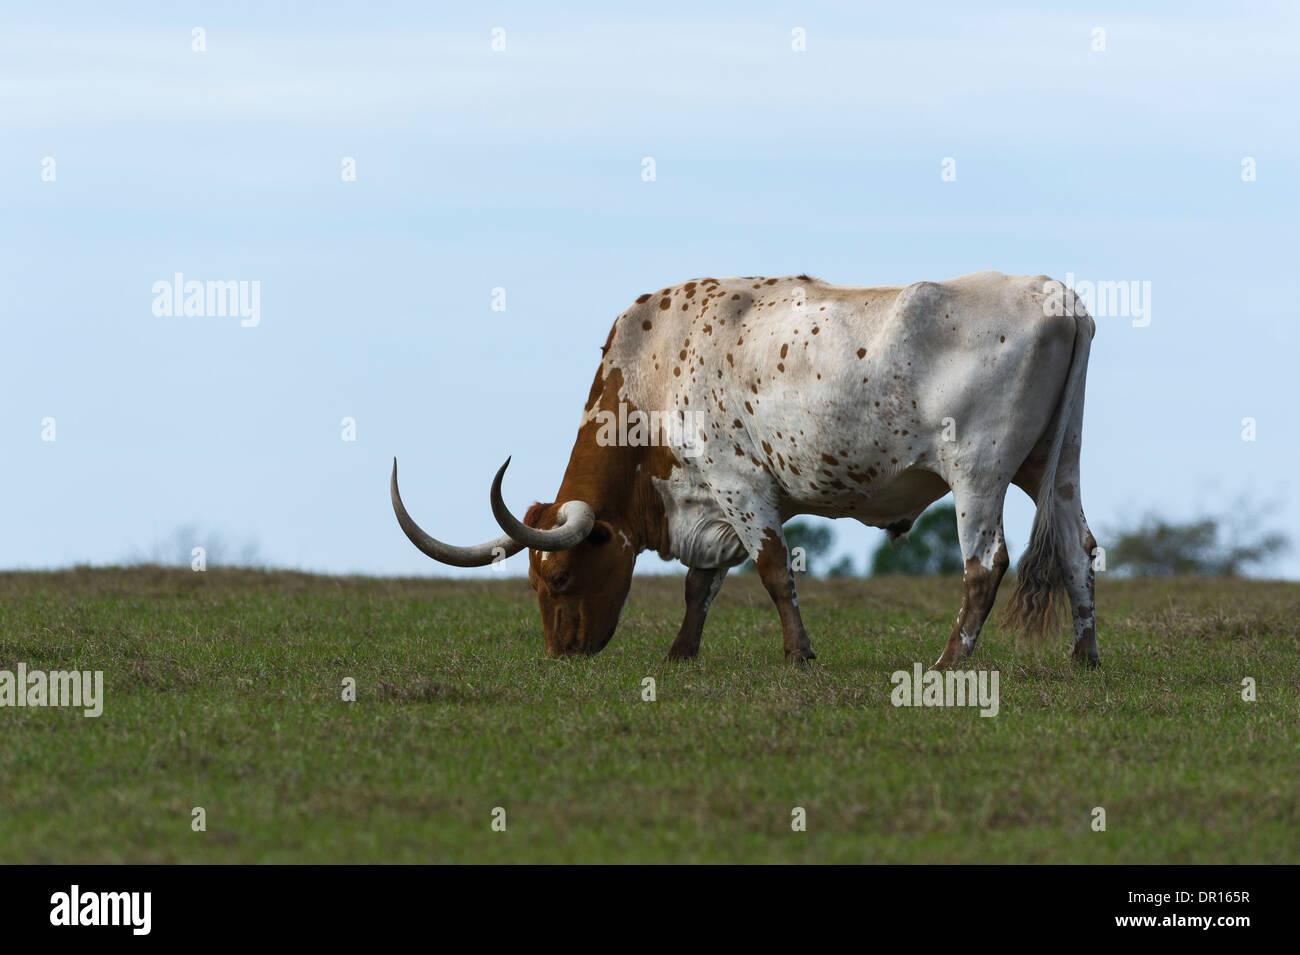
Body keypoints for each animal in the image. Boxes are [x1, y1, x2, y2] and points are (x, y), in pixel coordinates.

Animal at [392, 272, 1097, 670]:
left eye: (561, 577)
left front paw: (798, 656)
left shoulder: (741, 487)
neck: (652, 369)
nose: (561, 654)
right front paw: (680, 655)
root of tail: (1055, 294)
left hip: (977, 473)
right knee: (1076, 548)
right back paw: (1084, 658)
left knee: (986, 564)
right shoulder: (713, 502)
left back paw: (950, 661)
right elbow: (701, 584)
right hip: (1055, 466)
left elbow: (773, 571)